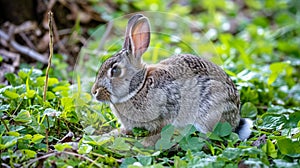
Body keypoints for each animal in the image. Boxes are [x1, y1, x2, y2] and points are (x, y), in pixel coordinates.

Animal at [90, 14, 252, 146]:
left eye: (115, 71)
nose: (94, 92)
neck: (139, 87)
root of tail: (236, 118)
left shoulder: (165, 114)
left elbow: (158, 133)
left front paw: (144, 143)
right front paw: (109, 135)